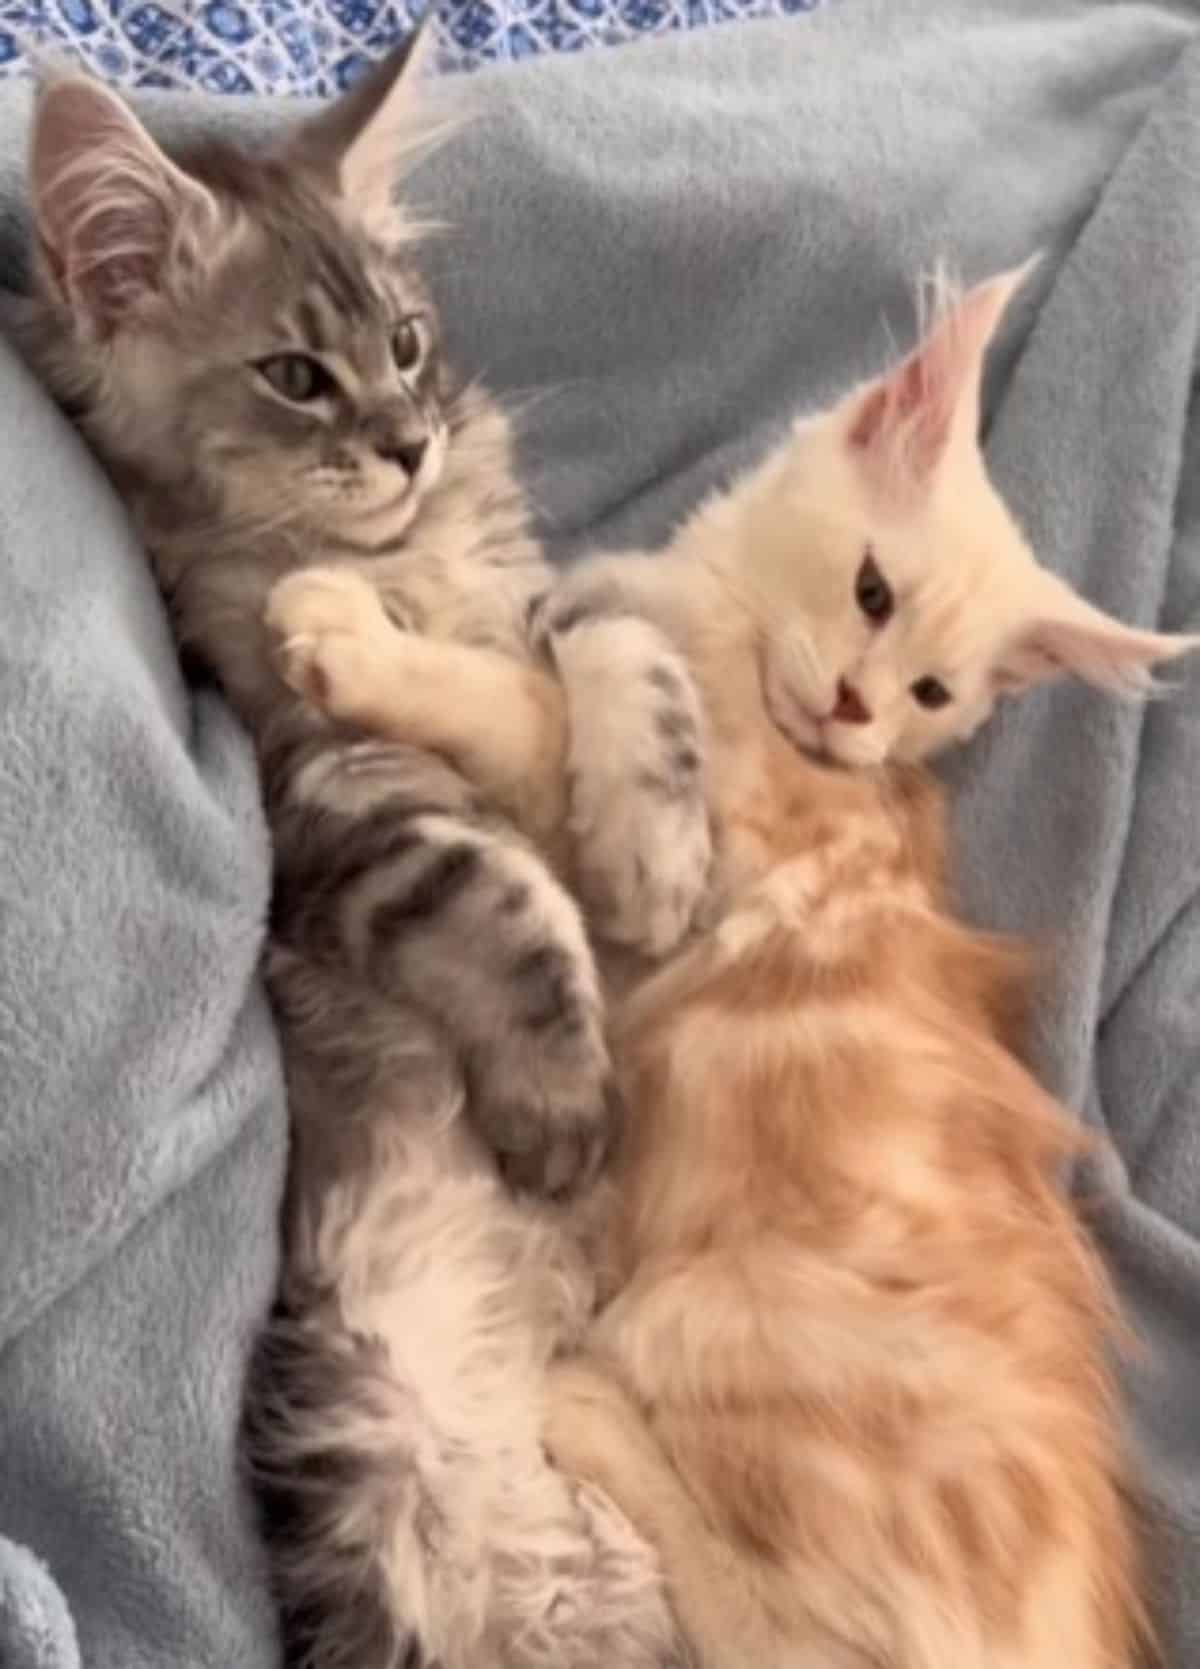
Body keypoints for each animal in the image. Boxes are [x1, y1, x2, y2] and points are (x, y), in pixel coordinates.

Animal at [11, 45, 714, 1669]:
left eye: (405, 341)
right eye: (294, 375)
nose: (410, 438)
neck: (407, 566)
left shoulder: (539, 613)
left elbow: (620, 644)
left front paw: (655, 844)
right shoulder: (332, 804)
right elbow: (514, 898)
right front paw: (560, 1110)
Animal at [263, 270, 1194, 1669]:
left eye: (931, 691)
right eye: (871, 593)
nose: (857, 709)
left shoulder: (694, 836)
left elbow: (519, 701)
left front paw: (352, 630)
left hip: (710, 1318)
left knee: (772, 1629)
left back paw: (585, 1408)